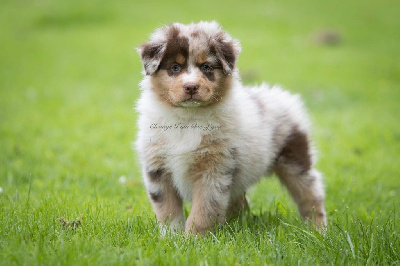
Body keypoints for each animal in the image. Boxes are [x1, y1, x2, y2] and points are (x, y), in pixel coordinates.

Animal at [136, 21, 326, 236]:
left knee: (311, 195)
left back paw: (319, 230)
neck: (188, 119)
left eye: (207, 67)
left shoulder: (214, 169)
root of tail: (279, 95)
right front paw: (171, 238)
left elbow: (203, 210)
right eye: (175, 67)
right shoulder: (158, 168)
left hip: (296, 160)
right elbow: (167, 210)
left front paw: (194, 238)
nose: (191, 87)